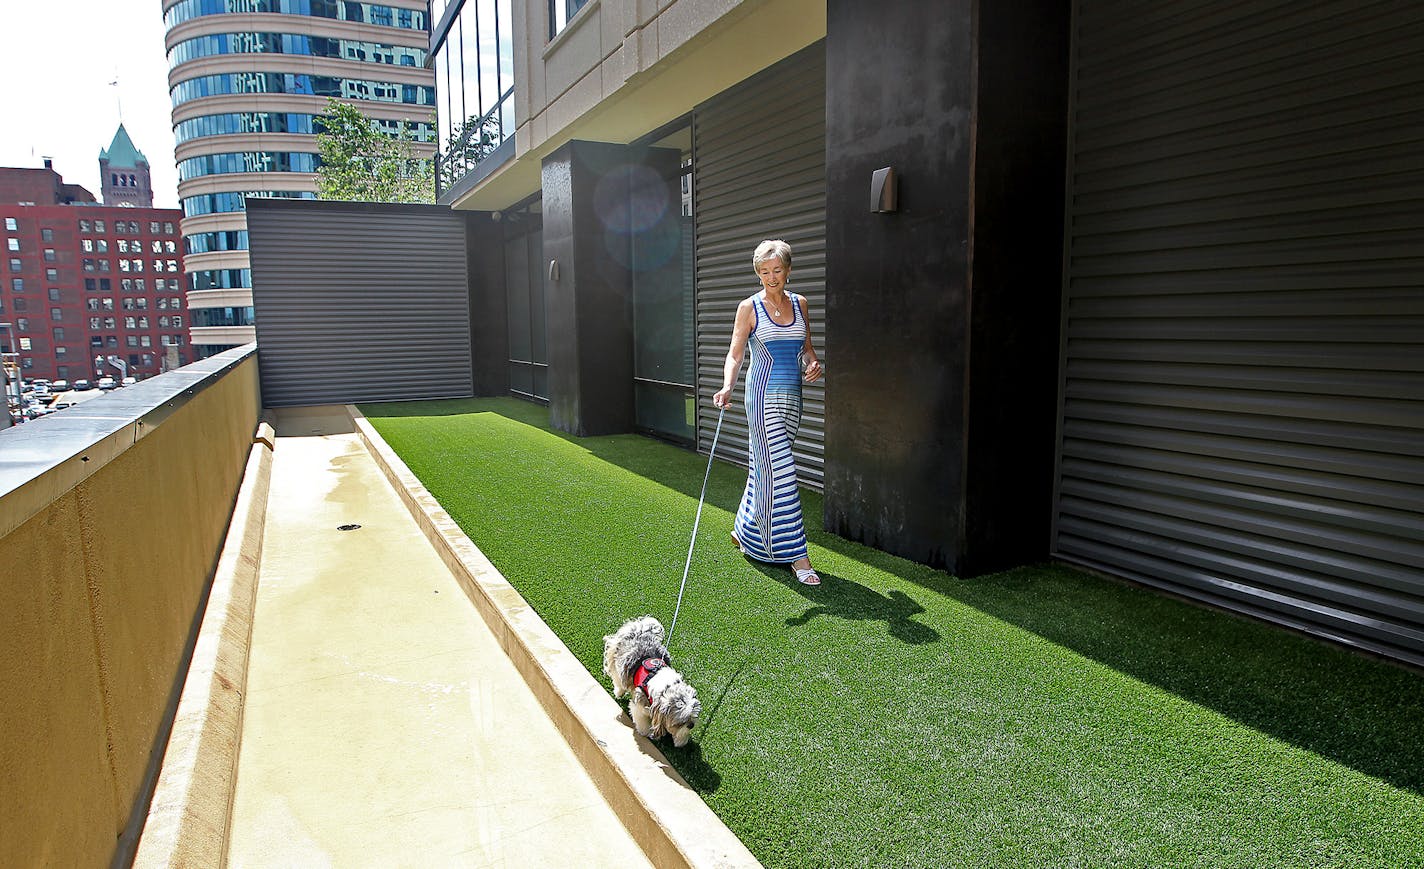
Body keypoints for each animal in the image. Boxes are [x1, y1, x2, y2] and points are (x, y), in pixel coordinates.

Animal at [600, 615, 700, 746]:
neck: (666, 687)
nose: (691, 725)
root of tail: (640, 629)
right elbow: (641, 719)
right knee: (619, 681)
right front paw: (645, 733)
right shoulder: (640, 705)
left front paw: (681, 739)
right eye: (681, 721)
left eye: (693, 715)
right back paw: (619, 692)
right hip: (618, 664)